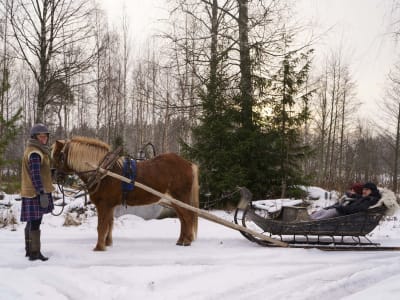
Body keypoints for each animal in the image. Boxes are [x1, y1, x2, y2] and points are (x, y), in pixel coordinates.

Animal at [51, 137, 198, 250]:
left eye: (58, 156)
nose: (54, 175)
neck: (103, 171)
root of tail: (188, 164)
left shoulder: (103, 205)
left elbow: (101, 226)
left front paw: (99, 247)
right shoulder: (109, 206)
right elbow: (109, 224)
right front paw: (107, 243)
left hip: (180, 197)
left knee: (188, 216)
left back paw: (187, 241)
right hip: (174, 200)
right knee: (183, 218)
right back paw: (181, 240)